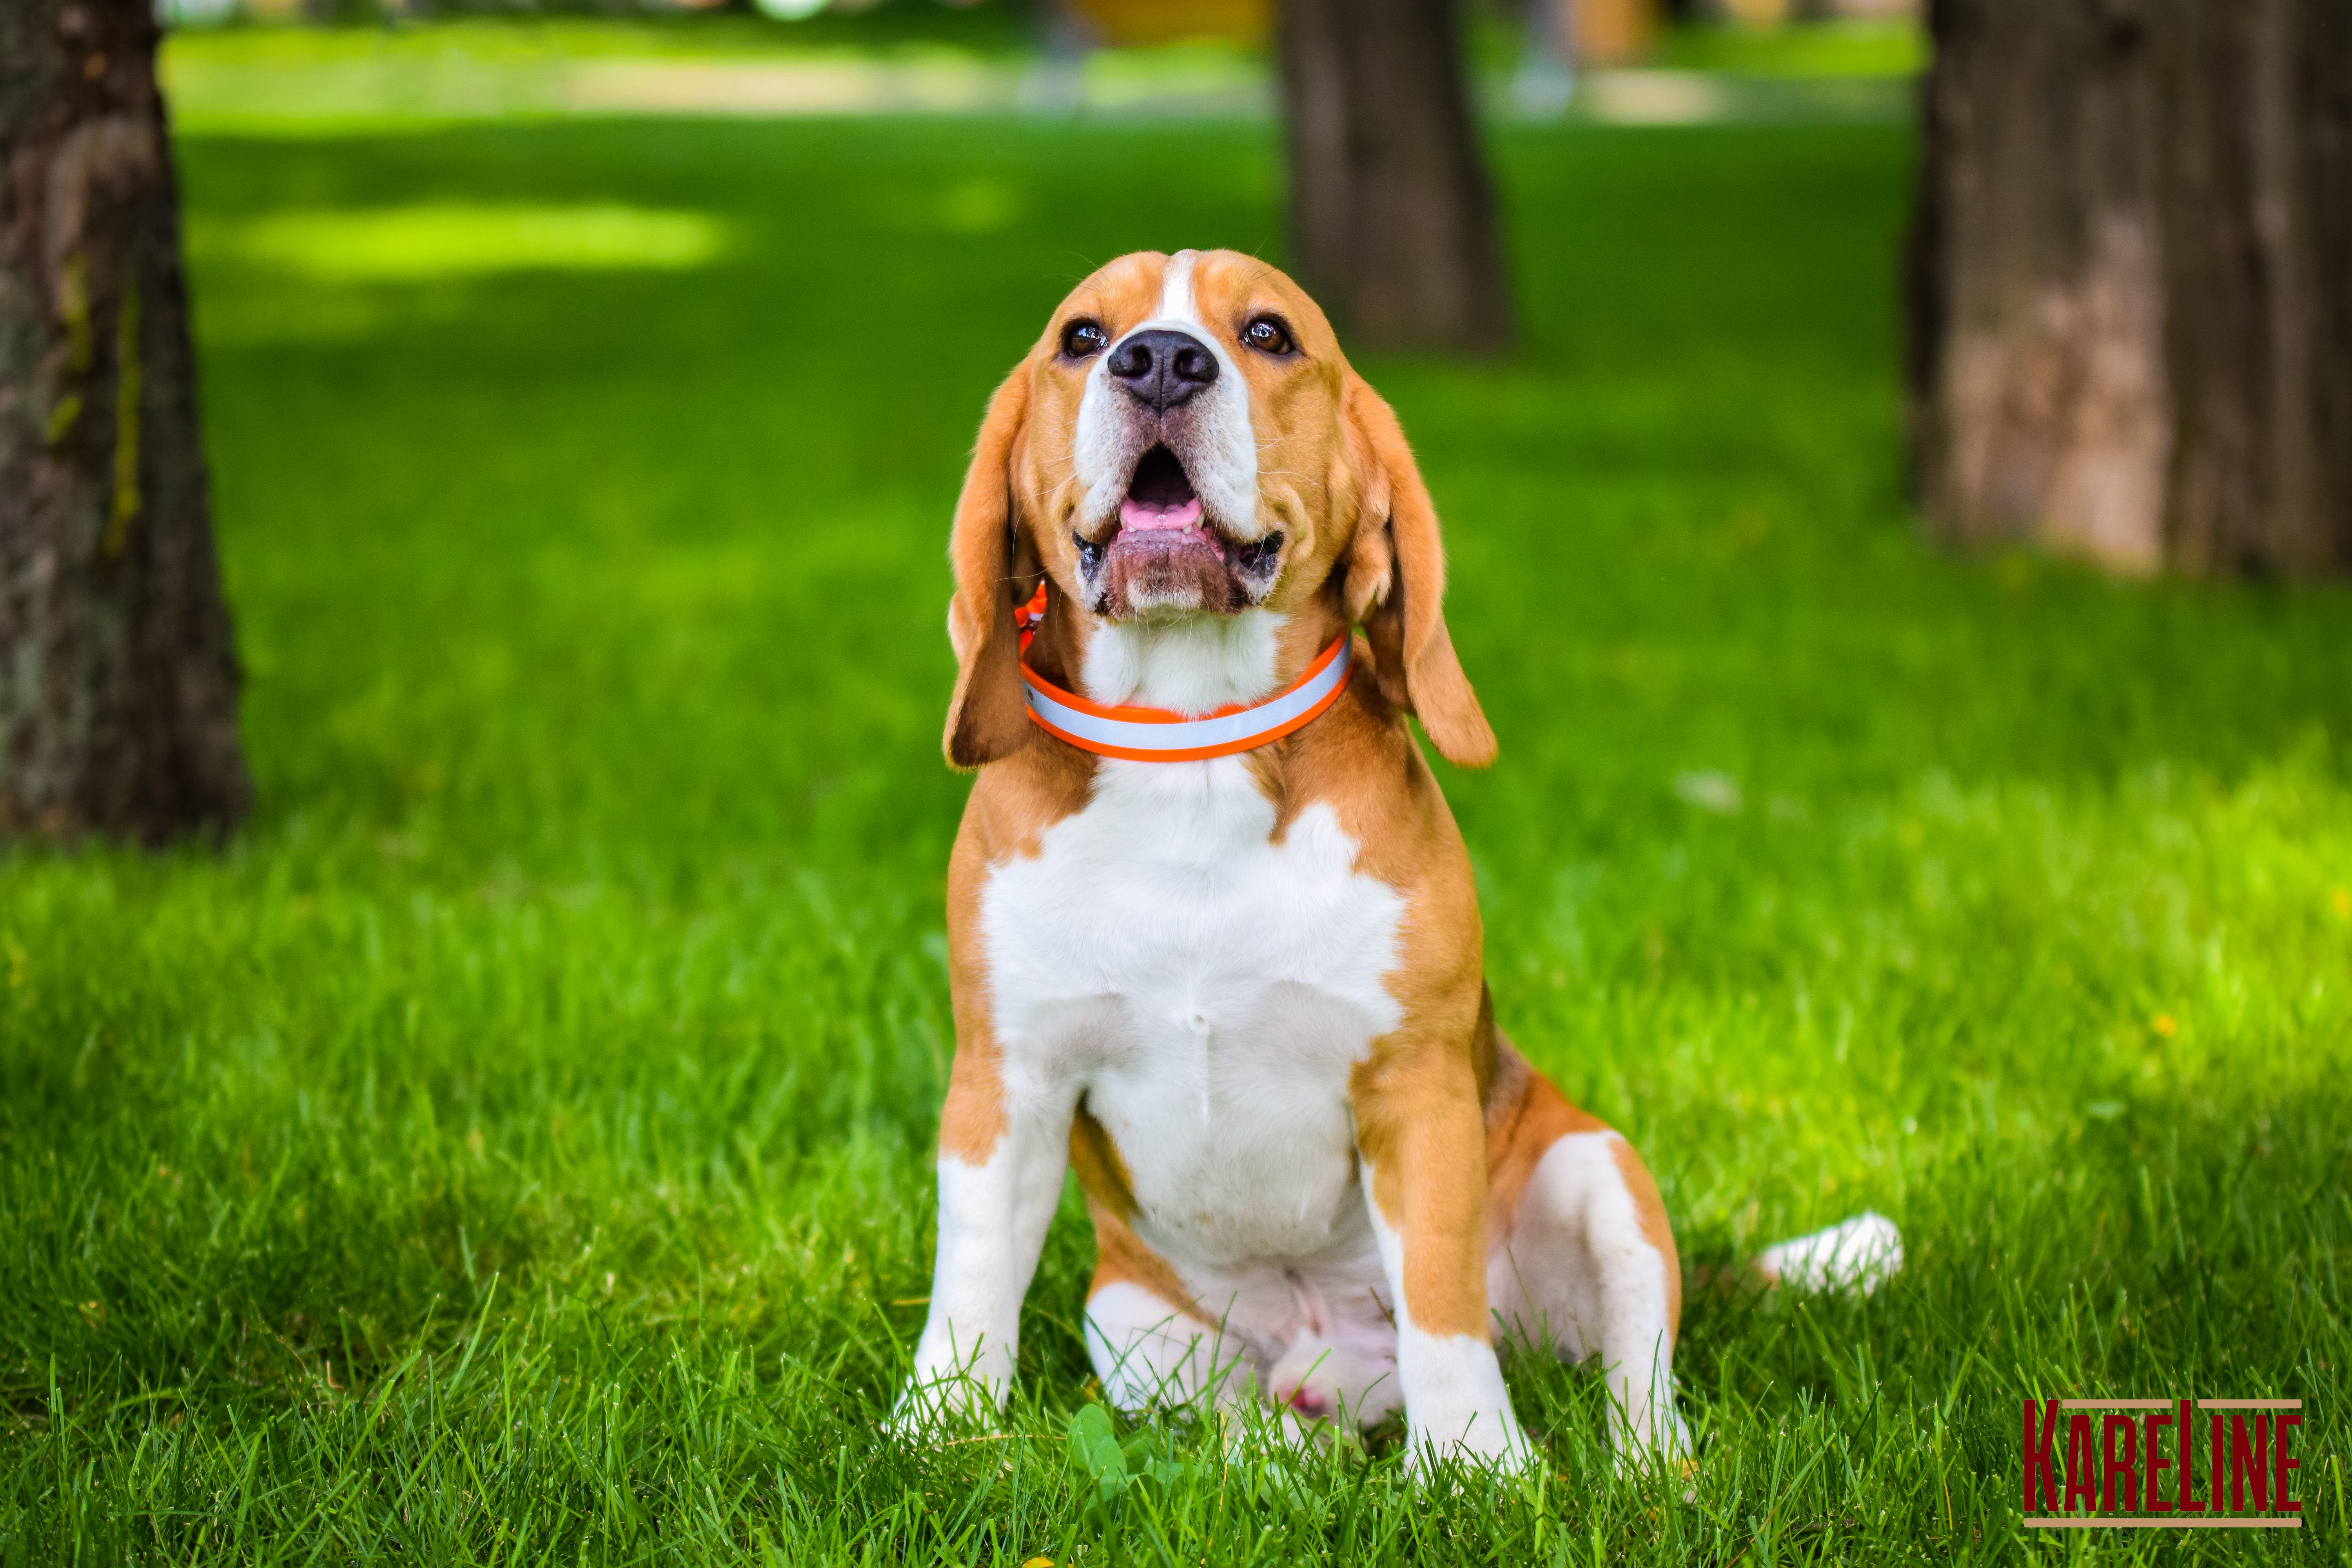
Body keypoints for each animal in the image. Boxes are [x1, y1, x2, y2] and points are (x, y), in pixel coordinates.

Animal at [908, 248, 1900, 1476]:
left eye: (1270, 334)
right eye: (1083, 339)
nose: (1161, 360)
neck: (1193, 744)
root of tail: (1339, 1370)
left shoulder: (1416, 1088)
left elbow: (1437, 1287)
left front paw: (1475, 1467)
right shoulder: (1007, 1084)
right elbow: (971, 1281)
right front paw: (933, 1430)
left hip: (1596, 1172)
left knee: (1638, 1378)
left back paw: (1641, 1468)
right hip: (1130, 1318)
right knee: (1234, 1423)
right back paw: (1274, 1450)